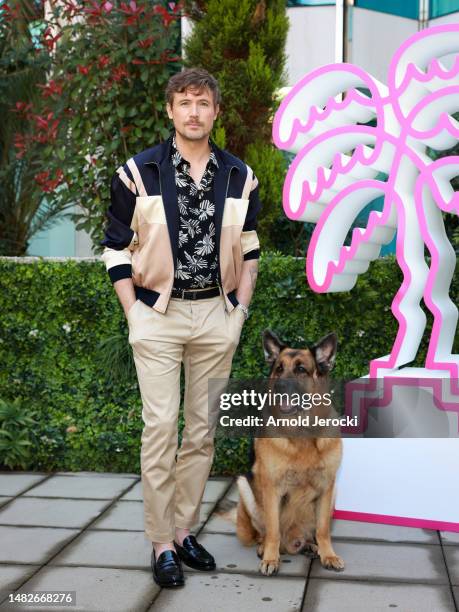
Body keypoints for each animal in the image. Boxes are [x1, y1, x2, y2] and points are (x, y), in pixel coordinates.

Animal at [235, 330, 344, 572]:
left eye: (301, 369)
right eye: (278, 369)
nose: (279, 387)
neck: (301, 431)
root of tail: (292, 542)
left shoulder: (327, 487)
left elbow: (323, 529)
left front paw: (328, 554)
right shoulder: (271, 488)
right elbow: (273, 530)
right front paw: (270, 559)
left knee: (310, 534)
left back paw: (311, 546)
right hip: (245, 486)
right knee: (266, 534)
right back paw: (265, 548)